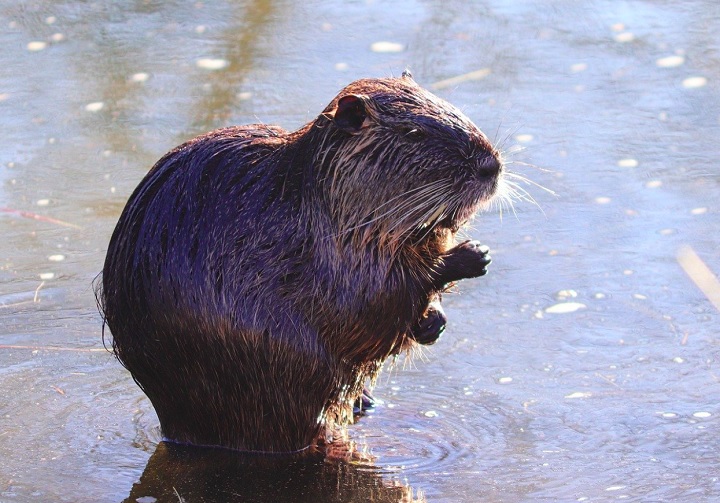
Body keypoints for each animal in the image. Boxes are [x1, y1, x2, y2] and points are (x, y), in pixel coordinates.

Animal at [98, 72, 504, 452]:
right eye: (414, 132)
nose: (491, 166)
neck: (316, 198)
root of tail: (170, 430)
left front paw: (435, 319)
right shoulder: (328, 255)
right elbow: (369, 301)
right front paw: (473, 255)